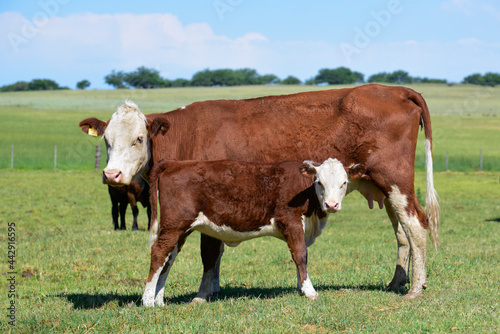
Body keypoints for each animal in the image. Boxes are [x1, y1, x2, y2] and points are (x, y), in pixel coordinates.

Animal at [143, 158, 356, 306]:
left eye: (344, 183)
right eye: (319, 182)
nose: (331, 205)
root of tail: (174, 163)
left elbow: (298, 255)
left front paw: (301, 288)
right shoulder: (291, 220)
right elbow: (300, 254)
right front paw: (310, 291)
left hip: (179, 229)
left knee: (168, 259)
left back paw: (159, 300)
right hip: (174, 225)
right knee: (159, 253)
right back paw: (147, 301)